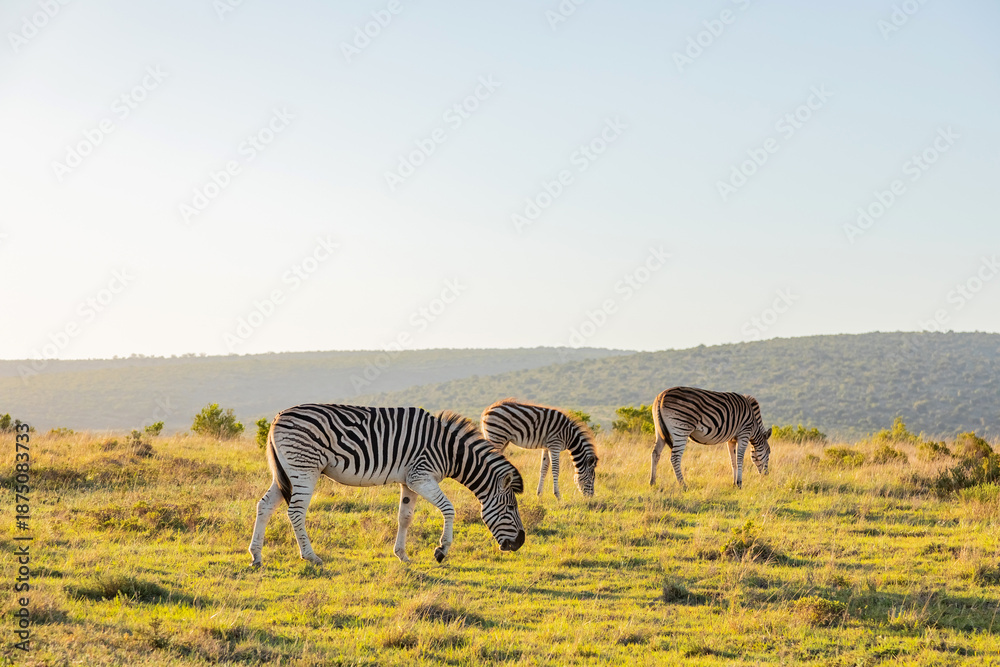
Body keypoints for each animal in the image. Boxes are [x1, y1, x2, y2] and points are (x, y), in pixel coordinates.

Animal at [248, 404, 526, 567]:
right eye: (511, 508)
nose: (520, 543)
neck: (449, 451)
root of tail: (277, 417)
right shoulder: (421, 475)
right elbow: (449, 509)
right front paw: (442, 550)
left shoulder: (409, 481)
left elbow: (405, 517)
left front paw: (402, 555)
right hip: (304, 468)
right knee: (295, 512)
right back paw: (311, 556)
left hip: (287, 471)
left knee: (264, 506)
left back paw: (256, 556)